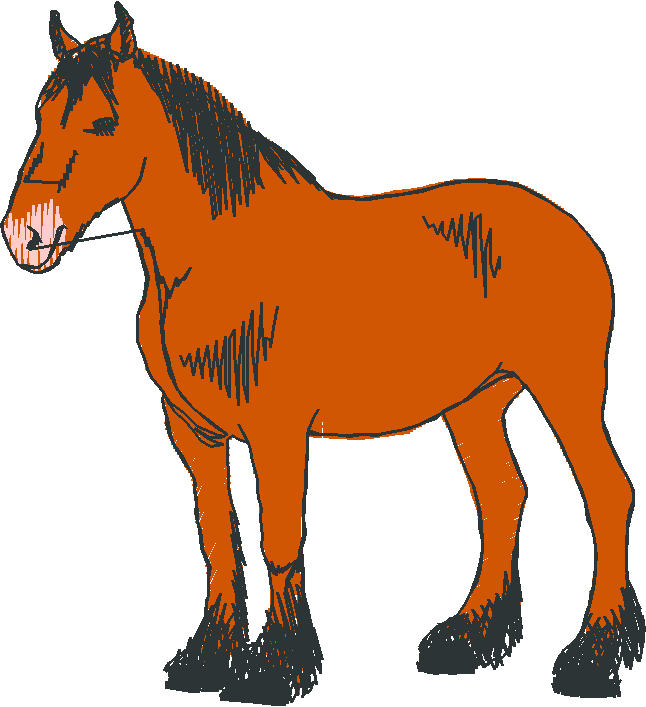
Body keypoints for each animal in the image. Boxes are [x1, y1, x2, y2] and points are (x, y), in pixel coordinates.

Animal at [2, 3, 643, 701]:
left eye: (103, 122)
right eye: (41, 114)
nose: (27, 233)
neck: (220, 259)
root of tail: (568, 228)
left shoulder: (276, 431)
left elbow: (279, 541)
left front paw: (275, 669)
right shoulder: (195, 434)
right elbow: (219, 540)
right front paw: (206, 657)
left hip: (566, 390)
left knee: (606, 495)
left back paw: (594, 655)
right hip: (475, 403)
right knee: (502, 498)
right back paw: (471, 639)